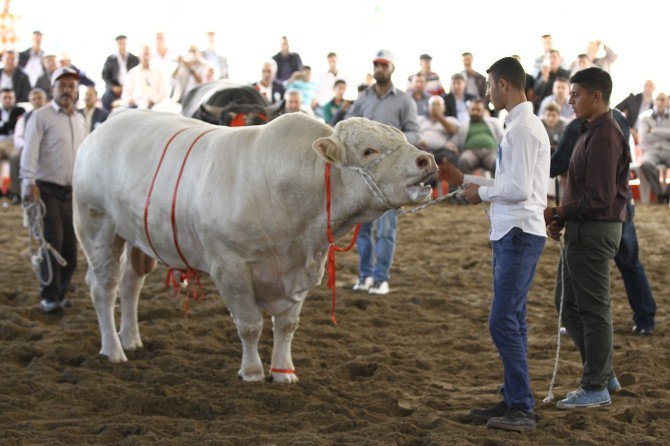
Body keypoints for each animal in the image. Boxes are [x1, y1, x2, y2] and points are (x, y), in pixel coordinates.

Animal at [73, 110, 438, 384]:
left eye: (402, 139)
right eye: (368, 151)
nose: (427, 160)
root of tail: (100, 130)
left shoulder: (305, 268)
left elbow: (286, 326)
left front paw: (284, 371)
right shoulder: (230, 267)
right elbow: (250, 325)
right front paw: (251, 372)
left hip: (137, 237)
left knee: (131, 283)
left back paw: (131, 339)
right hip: (97, 226)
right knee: (103, 288)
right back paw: (114, 350)